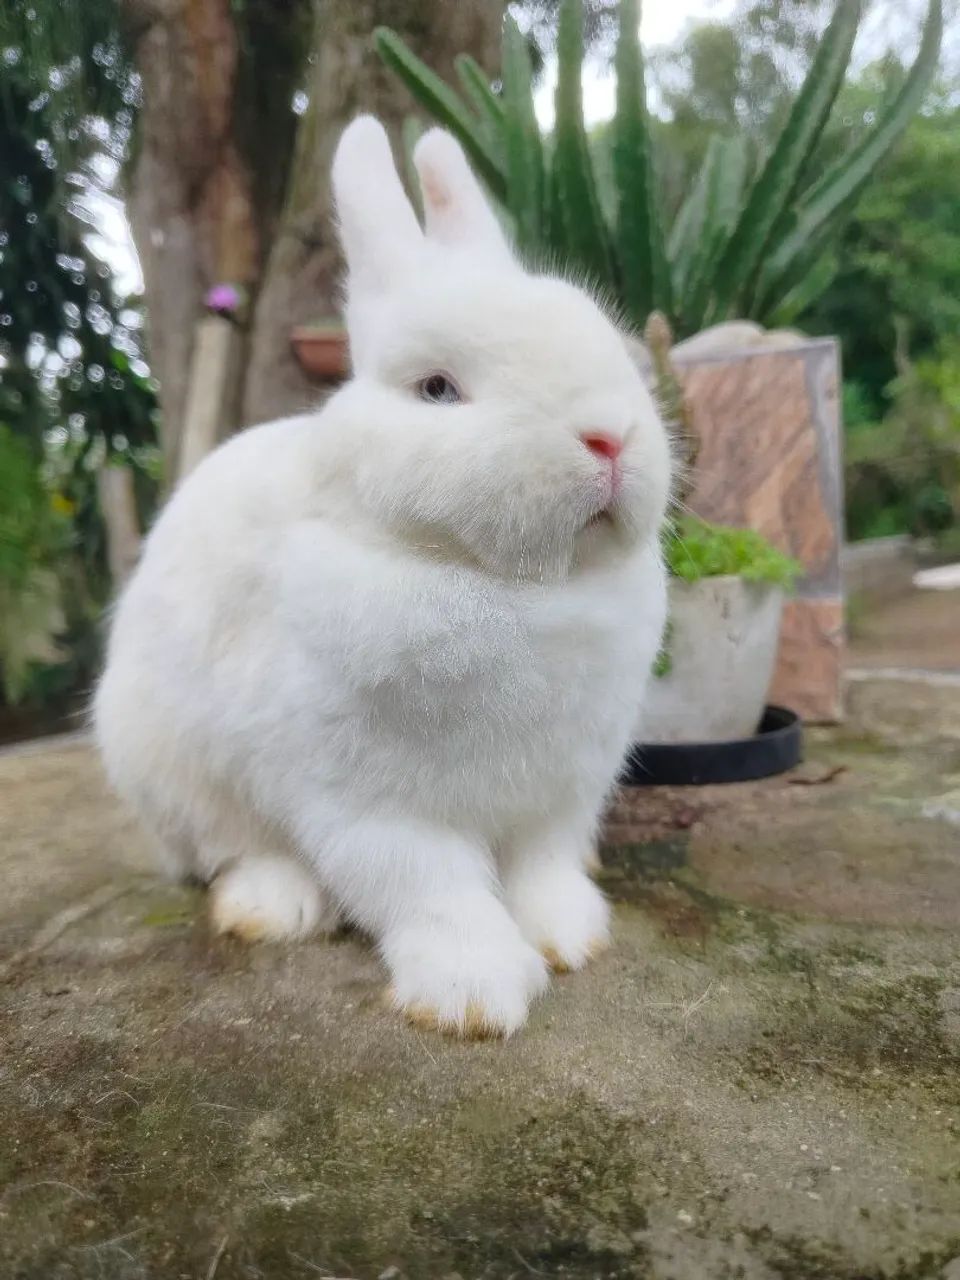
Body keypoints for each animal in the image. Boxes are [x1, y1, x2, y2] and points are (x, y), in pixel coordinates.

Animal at [93, 116, 672, 1038]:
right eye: (436, 389)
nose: (610, 437)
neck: (517, 587)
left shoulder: (561, 795)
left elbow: (543, 871)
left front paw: (570, 940)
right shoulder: (370, 807)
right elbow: (435, 894)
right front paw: (473, 997)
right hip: (168, 767)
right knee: (229, 849)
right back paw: (275, 906)